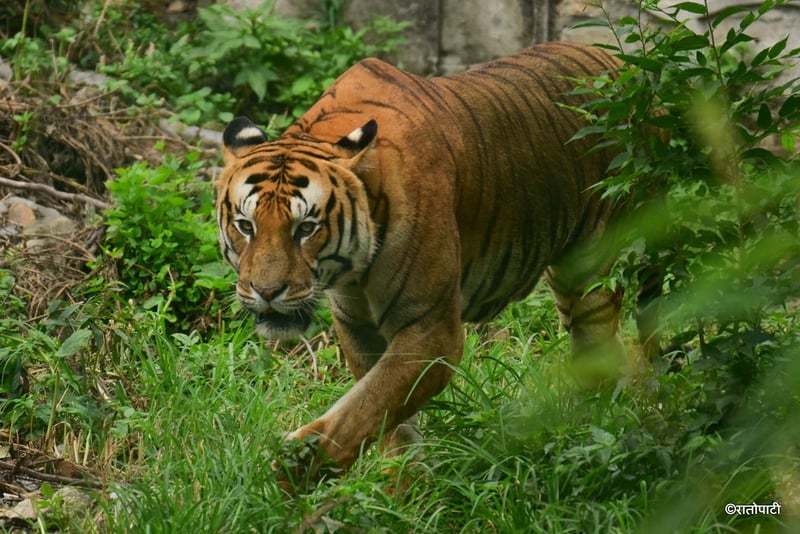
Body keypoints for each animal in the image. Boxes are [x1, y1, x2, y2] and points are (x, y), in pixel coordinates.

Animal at [216, 41, 655, 487]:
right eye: (246, 225)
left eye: (306, 228)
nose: (267, 292)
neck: (354, 271)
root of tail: (621, 60)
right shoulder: (357, 326)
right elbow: (385, 415)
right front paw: (401, 484)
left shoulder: (431, 331)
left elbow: (362, 410)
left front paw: (296, 470)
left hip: (594, 269)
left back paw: (592, 436)